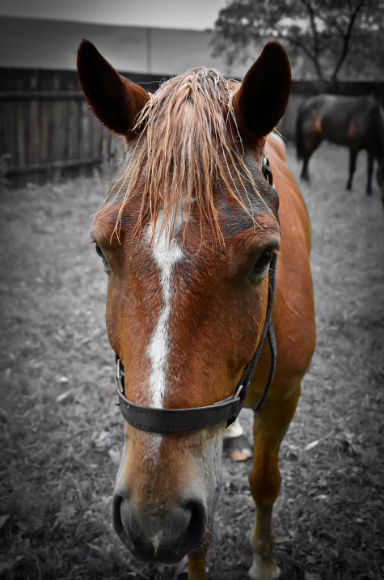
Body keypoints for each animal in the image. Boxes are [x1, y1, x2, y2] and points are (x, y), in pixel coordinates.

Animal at [77, 40, 316, 580]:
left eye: (265, 258)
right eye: (101, 249)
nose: (153, 521)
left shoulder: (286, 396)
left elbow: (265, 482)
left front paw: (264, 563)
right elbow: (200, 537)